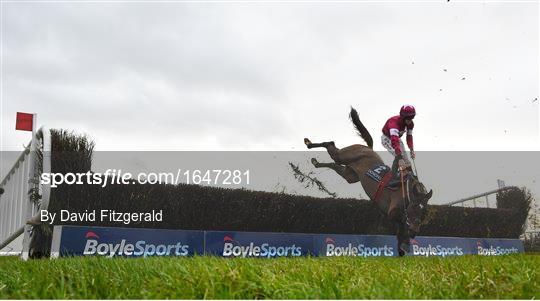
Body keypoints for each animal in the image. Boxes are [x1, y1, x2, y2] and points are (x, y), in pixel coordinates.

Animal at [304, 106, 434, 254]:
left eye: (424, 210)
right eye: (414, 206)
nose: (414, 231)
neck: (406, 192)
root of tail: (367, 148)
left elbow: (402, 241)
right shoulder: (393, 212)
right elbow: (401, 225)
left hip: (350, 175)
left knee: (334, 164)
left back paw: (315, 162)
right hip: (344, 155)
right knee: (331, 146)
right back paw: (308, 143)